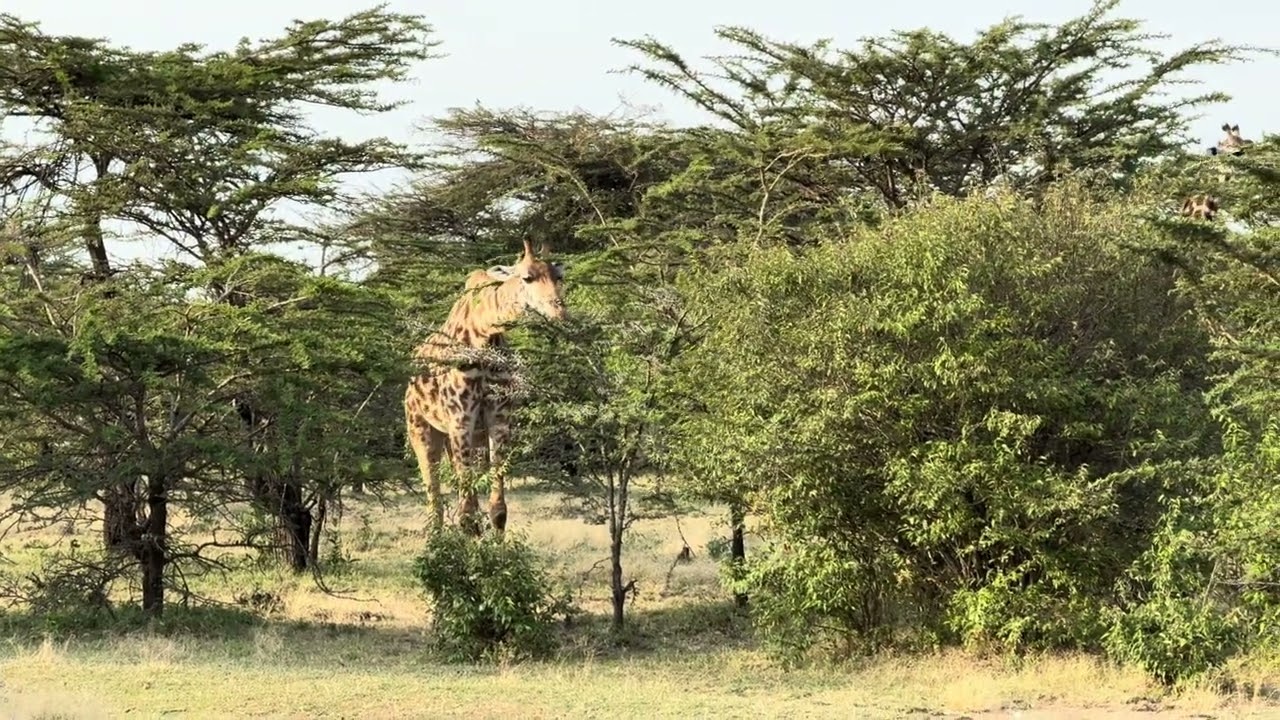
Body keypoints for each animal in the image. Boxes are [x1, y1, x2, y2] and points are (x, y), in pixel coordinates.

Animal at [404, 239, 566, 536]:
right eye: (527, 277)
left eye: (558, 276)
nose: (560, 312)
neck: (484, 332)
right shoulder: (460, 418)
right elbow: (467, 515)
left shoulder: (498, 417)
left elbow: (497, 510)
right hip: (421, 429)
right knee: (434, 500)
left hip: (471, 437)